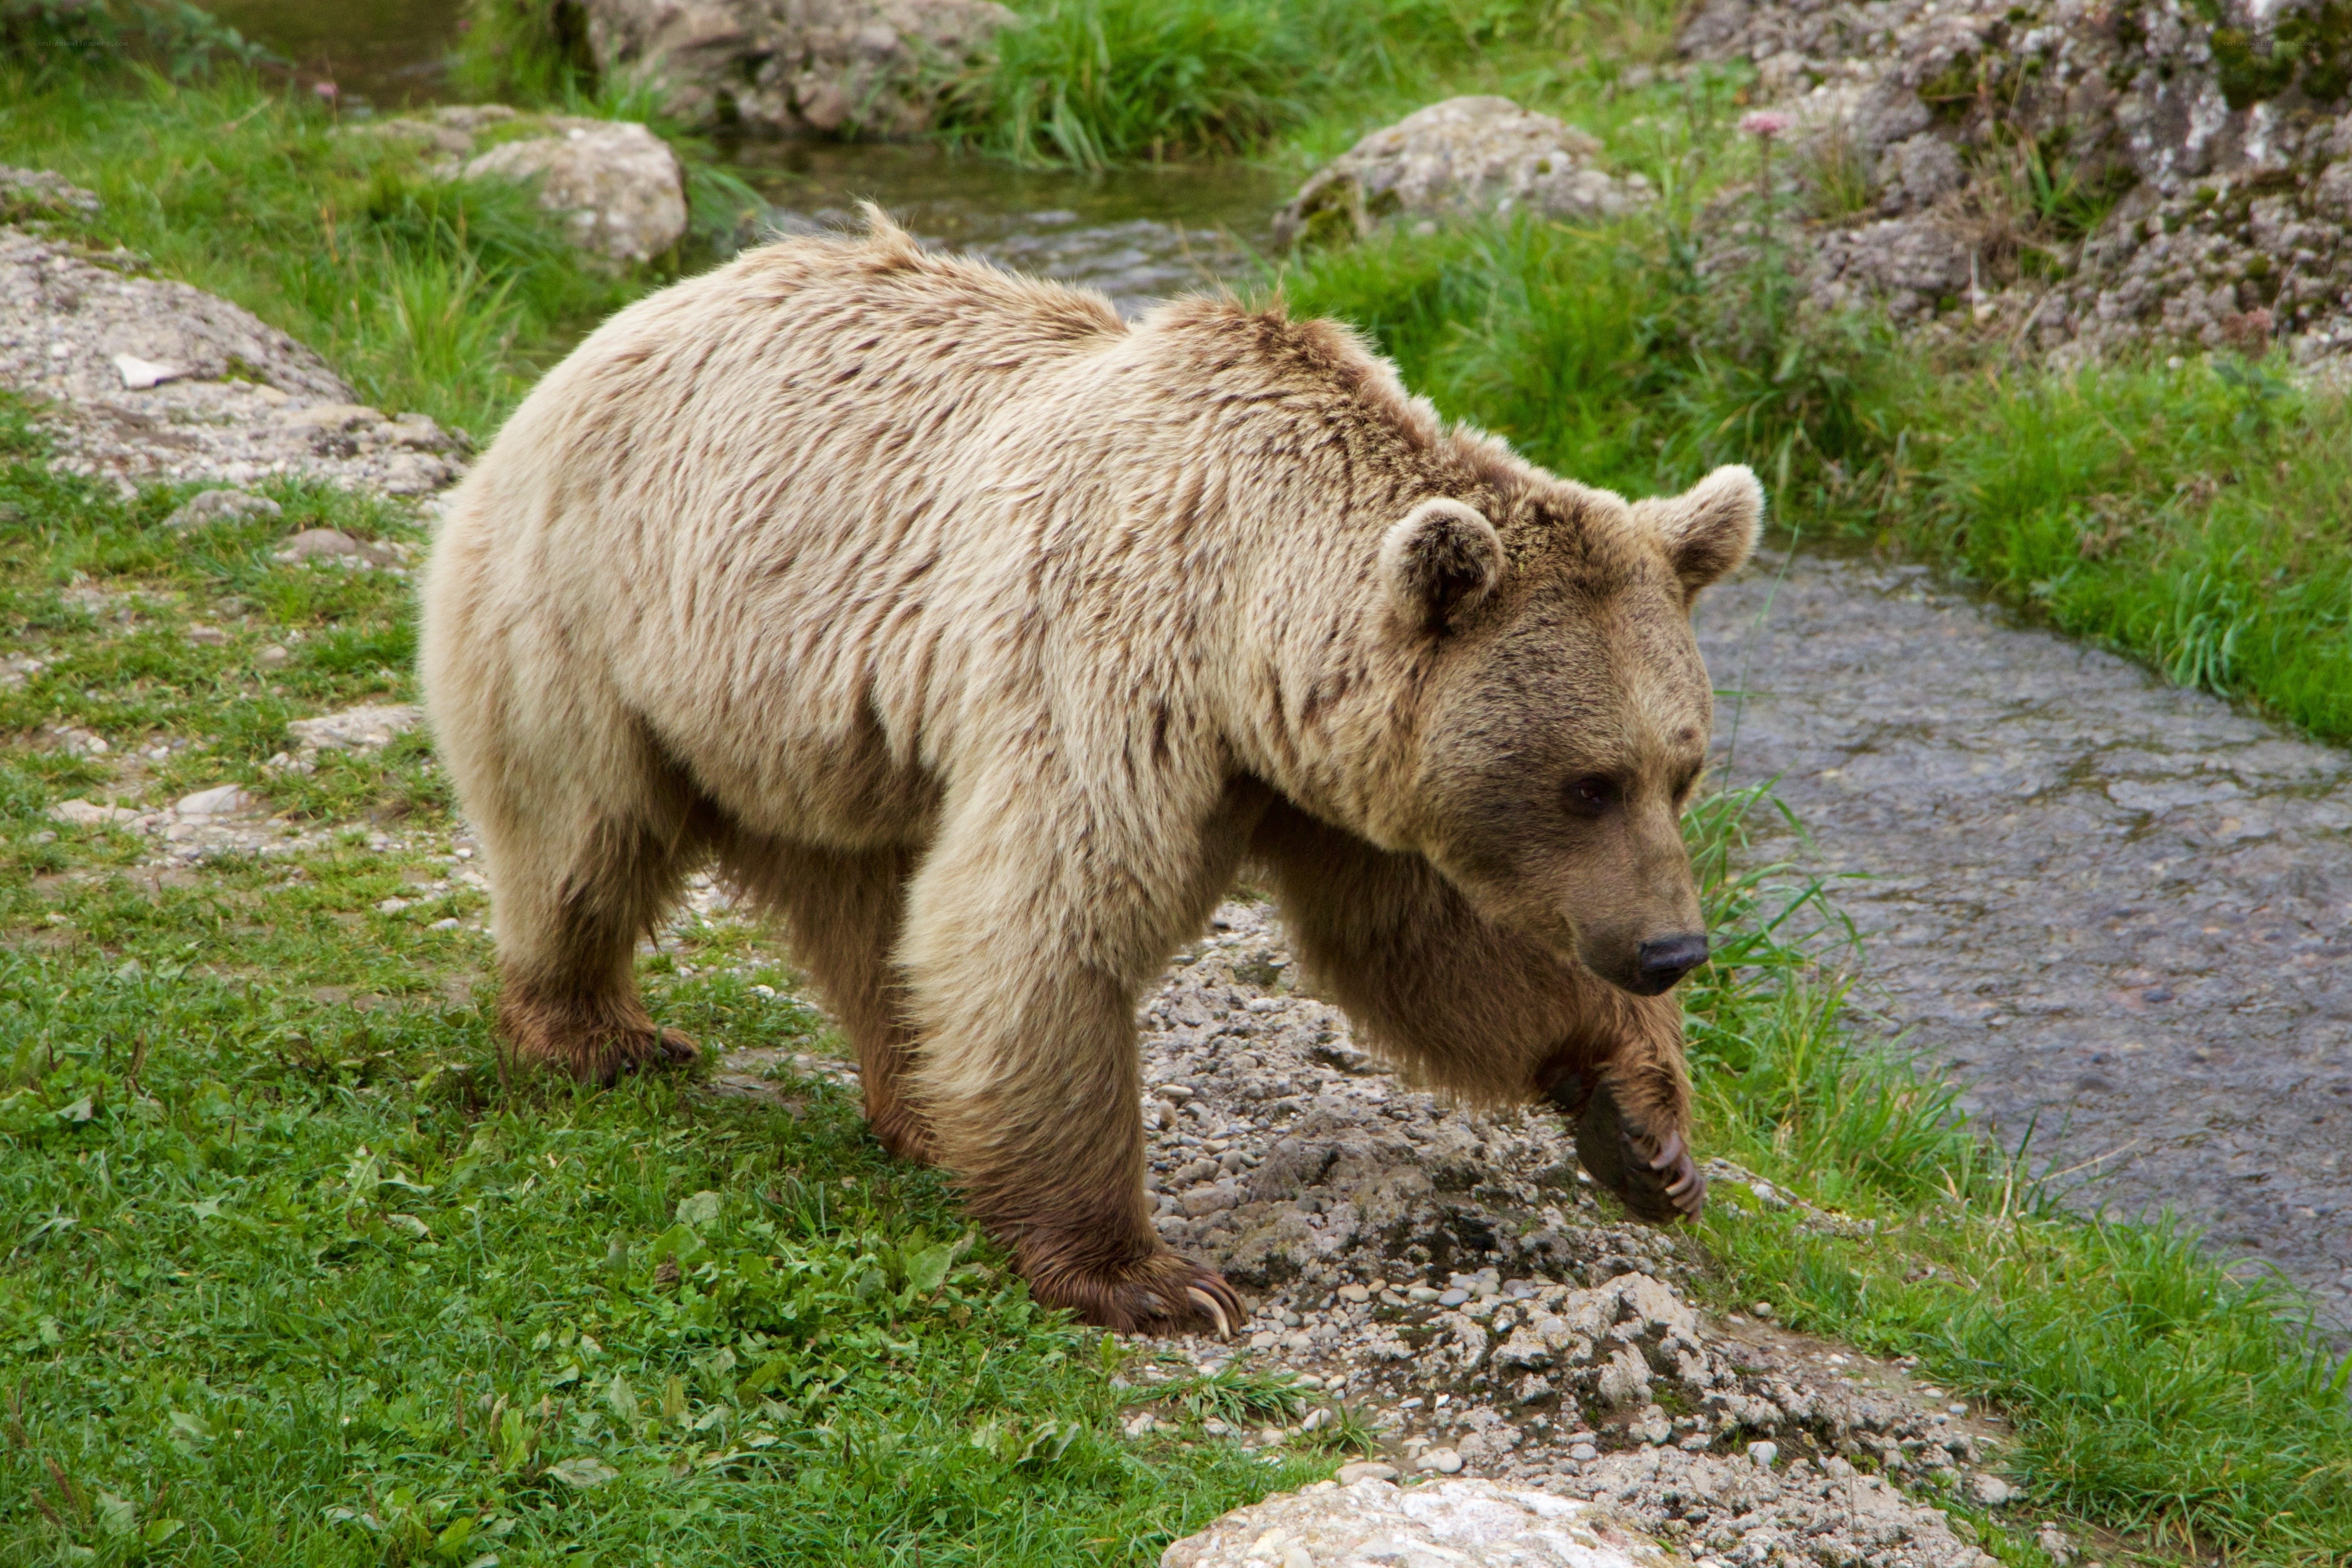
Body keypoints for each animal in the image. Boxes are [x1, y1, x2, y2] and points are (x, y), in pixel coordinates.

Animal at [419, 210, 1760, 1337]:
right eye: (1587, 781)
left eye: (1680, 768)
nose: (1671, 948)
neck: (1248, 632)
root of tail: (616, 326)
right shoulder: (1111, 668)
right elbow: (1047, 919)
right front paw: (1149, 1276)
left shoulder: (1329, 778)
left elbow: (1426, 944)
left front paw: (1643, 1127)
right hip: (607, 616)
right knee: (582, 832)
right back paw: (598, 1032)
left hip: (820, 732)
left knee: (869, 911)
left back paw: (921, 1105)